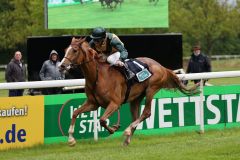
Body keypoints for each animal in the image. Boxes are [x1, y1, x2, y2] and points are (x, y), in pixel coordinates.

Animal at [59, 37, 198, 146]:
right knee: (136, 116)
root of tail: (161, 66)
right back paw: (127, 139)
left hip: (151, 89)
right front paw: (71, 140)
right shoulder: (93, 103)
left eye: (74, 50)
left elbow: (102, 120)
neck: (98, 76)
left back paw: (127, 131)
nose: (61, 66)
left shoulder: (115, 103)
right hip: (136, 98)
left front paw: (114, 128)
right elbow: (75, 113)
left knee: (146, 112)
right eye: (65, 50)